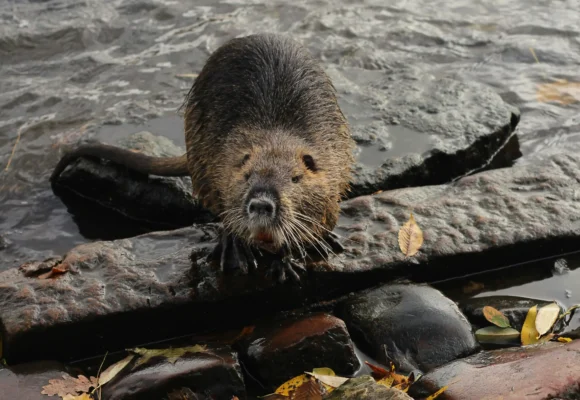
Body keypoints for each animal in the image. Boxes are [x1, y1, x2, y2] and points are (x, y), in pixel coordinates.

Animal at [52, 34, 356, 282]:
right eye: (247, 176)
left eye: (295, 178)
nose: (261, 204)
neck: (276, 134)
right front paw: (242, 250)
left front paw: (291, 259)